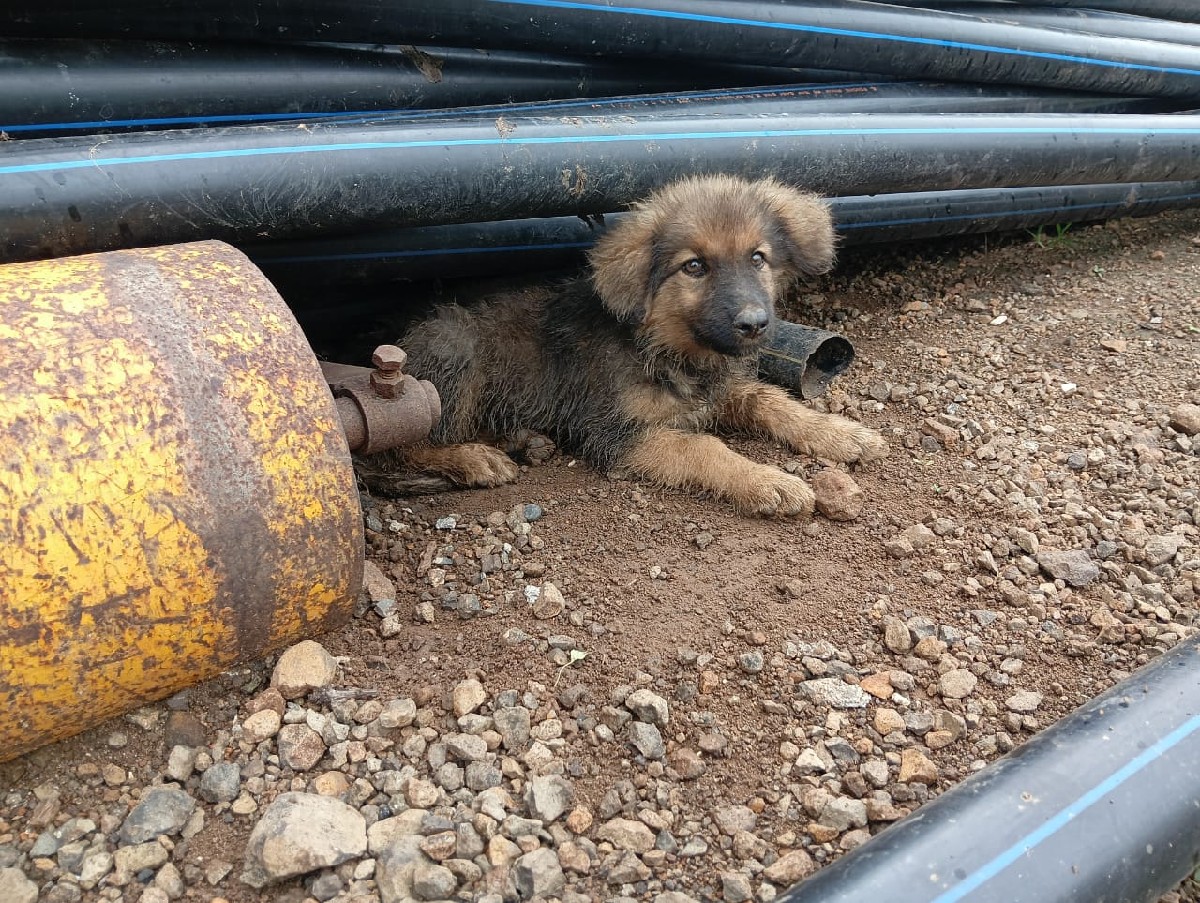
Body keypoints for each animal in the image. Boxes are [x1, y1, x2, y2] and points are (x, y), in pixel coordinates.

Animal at [362, 174, 887, 516]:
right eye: (694, 267)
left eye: (758, 258)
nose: (755, 324)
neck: (663, 346)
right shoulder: (617, 433)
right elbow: (703, 446)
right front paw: (767, 480)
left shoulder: (719, 390)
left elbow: (771, 400)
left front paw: (838, 432)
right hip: (452, 344)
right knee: (398, 445)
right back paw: (473, 457)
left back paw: (522, 440)